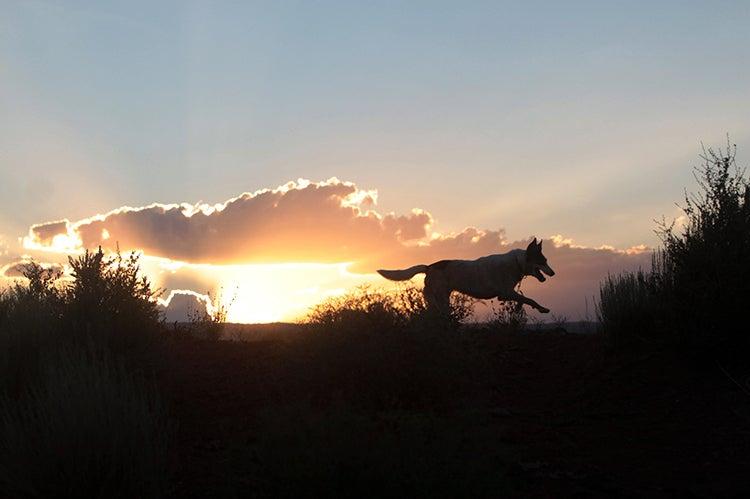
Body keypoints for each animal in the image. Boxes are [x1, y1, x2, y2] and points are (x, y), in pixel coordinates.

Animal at [378, 237, 556, 312]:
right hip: (440, 298)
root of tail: (429, 267)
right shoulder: (506, 293)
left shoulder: (505, 295)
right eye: (542, 261)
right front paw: (542, 309)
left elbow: (524, 300)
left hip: (439, 297)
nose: (553, 273)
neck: (517, 262)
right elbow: (530, 299)